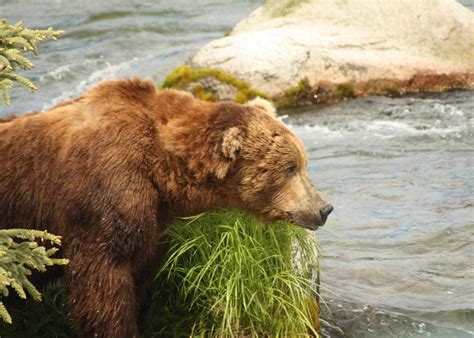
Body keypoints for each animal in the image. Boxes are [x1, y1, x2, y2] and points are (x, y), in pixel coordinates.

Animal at [0, 78, 334, 336]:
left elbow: (141, 273)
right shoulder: (103, 195)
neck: (160, 170)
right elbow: (103, 287)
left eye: (303, 163)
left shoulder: (153, 219)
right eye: (289, 168)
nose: (324, 208)